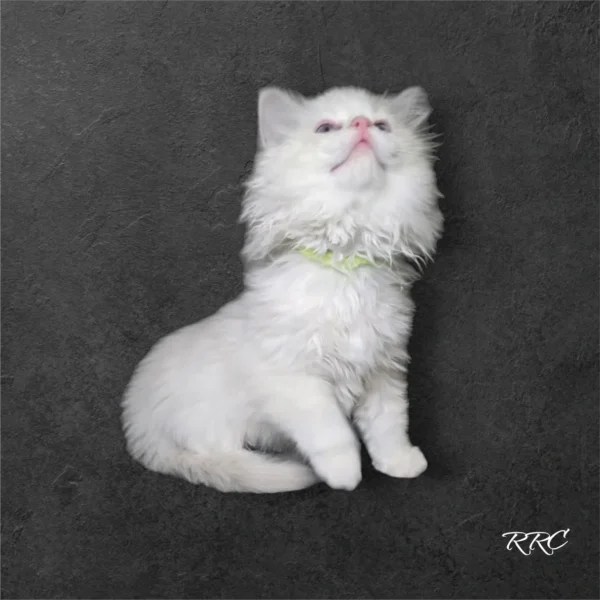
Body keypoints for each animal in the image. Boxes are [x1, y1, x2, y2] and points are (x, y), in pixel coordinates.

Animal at [122, 84, 442, 492]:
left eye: (383, 125)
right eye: (325, 128)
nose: (361, 123)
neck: (345, 260)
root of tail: (138, 424)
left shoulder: (384, 370)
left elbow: (389, 425)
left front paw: (400, 462)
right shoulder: (295, 379)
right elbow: (332, 433)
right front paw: (344, 475)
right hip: (211, 427)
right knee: (218, 456)